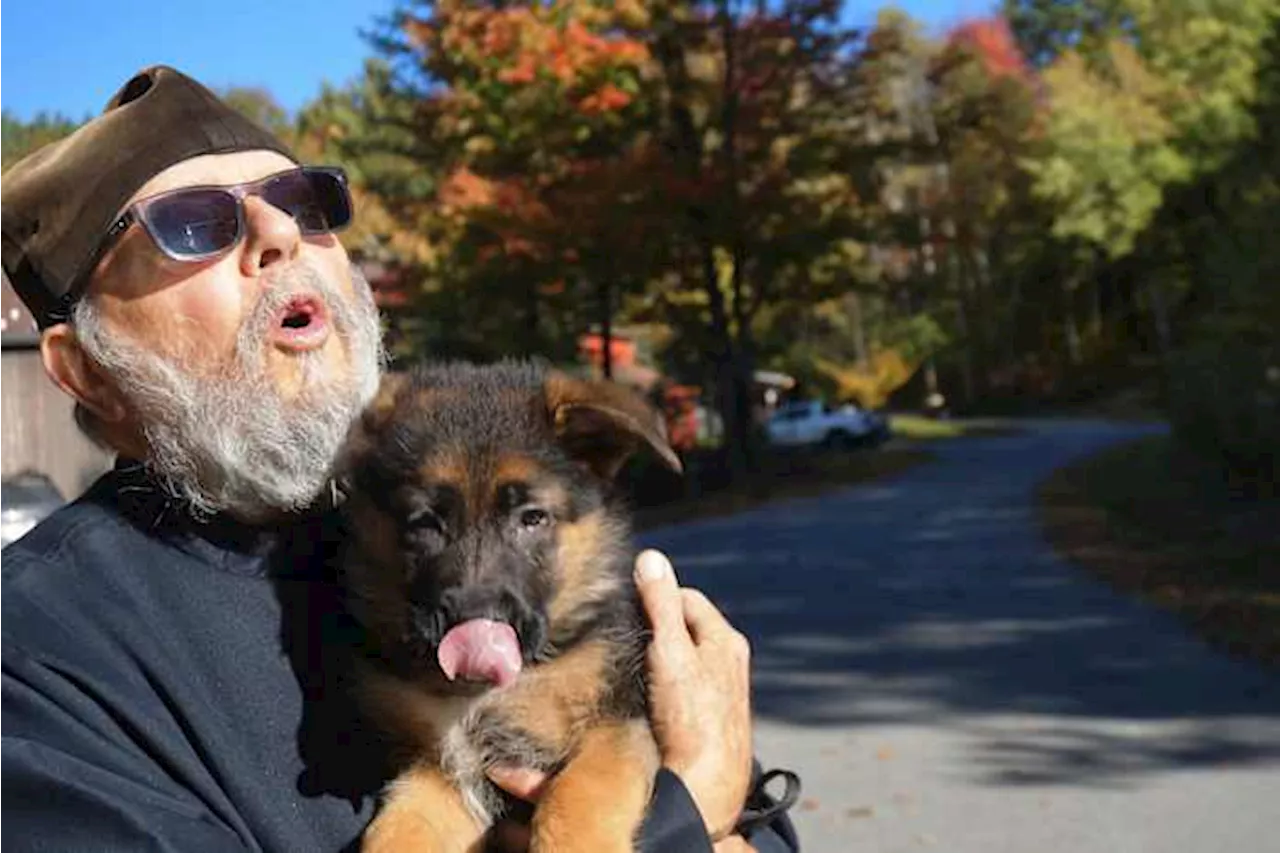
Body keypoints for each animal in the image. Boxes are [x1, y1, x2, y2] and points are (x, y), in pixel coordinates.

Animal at [335, 358, 686, 850]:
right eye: (424, 523)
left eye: (532, 518)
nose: (474, 632)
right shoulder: (445, 773)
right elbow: (396, 830)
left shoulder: (618, 724)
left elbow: (577, 795)